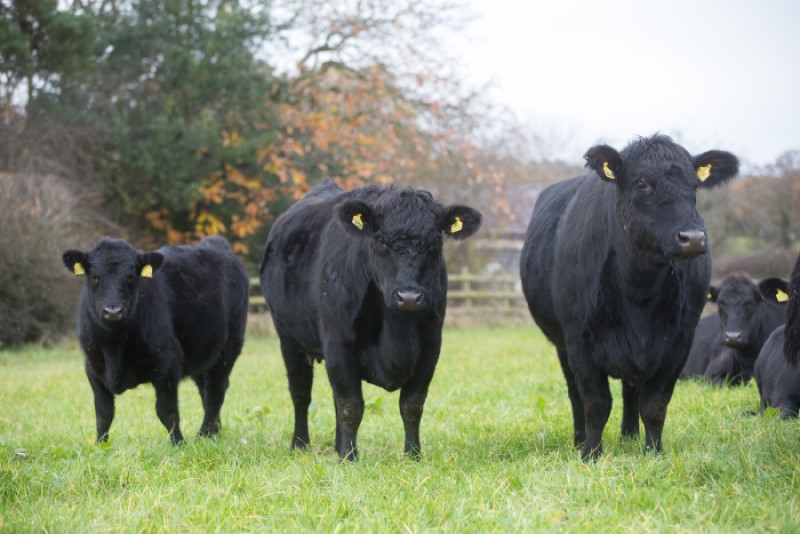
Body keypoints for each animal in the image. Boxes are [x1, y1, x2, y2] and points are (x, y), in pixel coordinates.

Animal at [62, 235, 249, 444]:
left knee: (216, 390)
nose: (113, 311)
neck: (114, 348)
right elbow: (103, 413)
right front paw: (100, 444)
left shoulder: (167, 364)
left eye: (130, 277)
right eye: (95, 277)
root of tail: (214, 243)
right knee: (206, 389)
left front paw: (179, 443)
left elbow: (166, 411)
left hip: (229, 347)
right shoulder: (93, 367)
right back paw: (214, 431)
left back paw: (205, 434)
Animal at [260, 179, 481, 460]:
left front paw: (413, 454)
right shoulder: (338, 343)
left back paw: (337, 445)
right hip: (288, 337)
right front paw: (349, 457)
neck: (395, 332)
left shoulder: (431, 346)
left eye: (434, 243)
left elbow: (412, 405)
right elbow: (351, 406)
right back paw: (300, 443)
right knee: (300, 394)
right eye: (382, 241)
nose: (409, 297)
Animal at [520, 134, 739, 460]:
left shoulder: (678, 342)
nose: (692, 238)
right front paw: (590, 454)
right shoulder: (578, 339)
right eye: (641, 183)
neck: (639, 291)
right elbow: (595, 403)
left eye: (694, 186)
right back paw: (580, 440)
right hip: (561, 344)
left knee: (631, 389)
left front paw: (654, 452)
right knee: (575, 394)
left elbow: (655, 404)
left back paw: (629, 437)